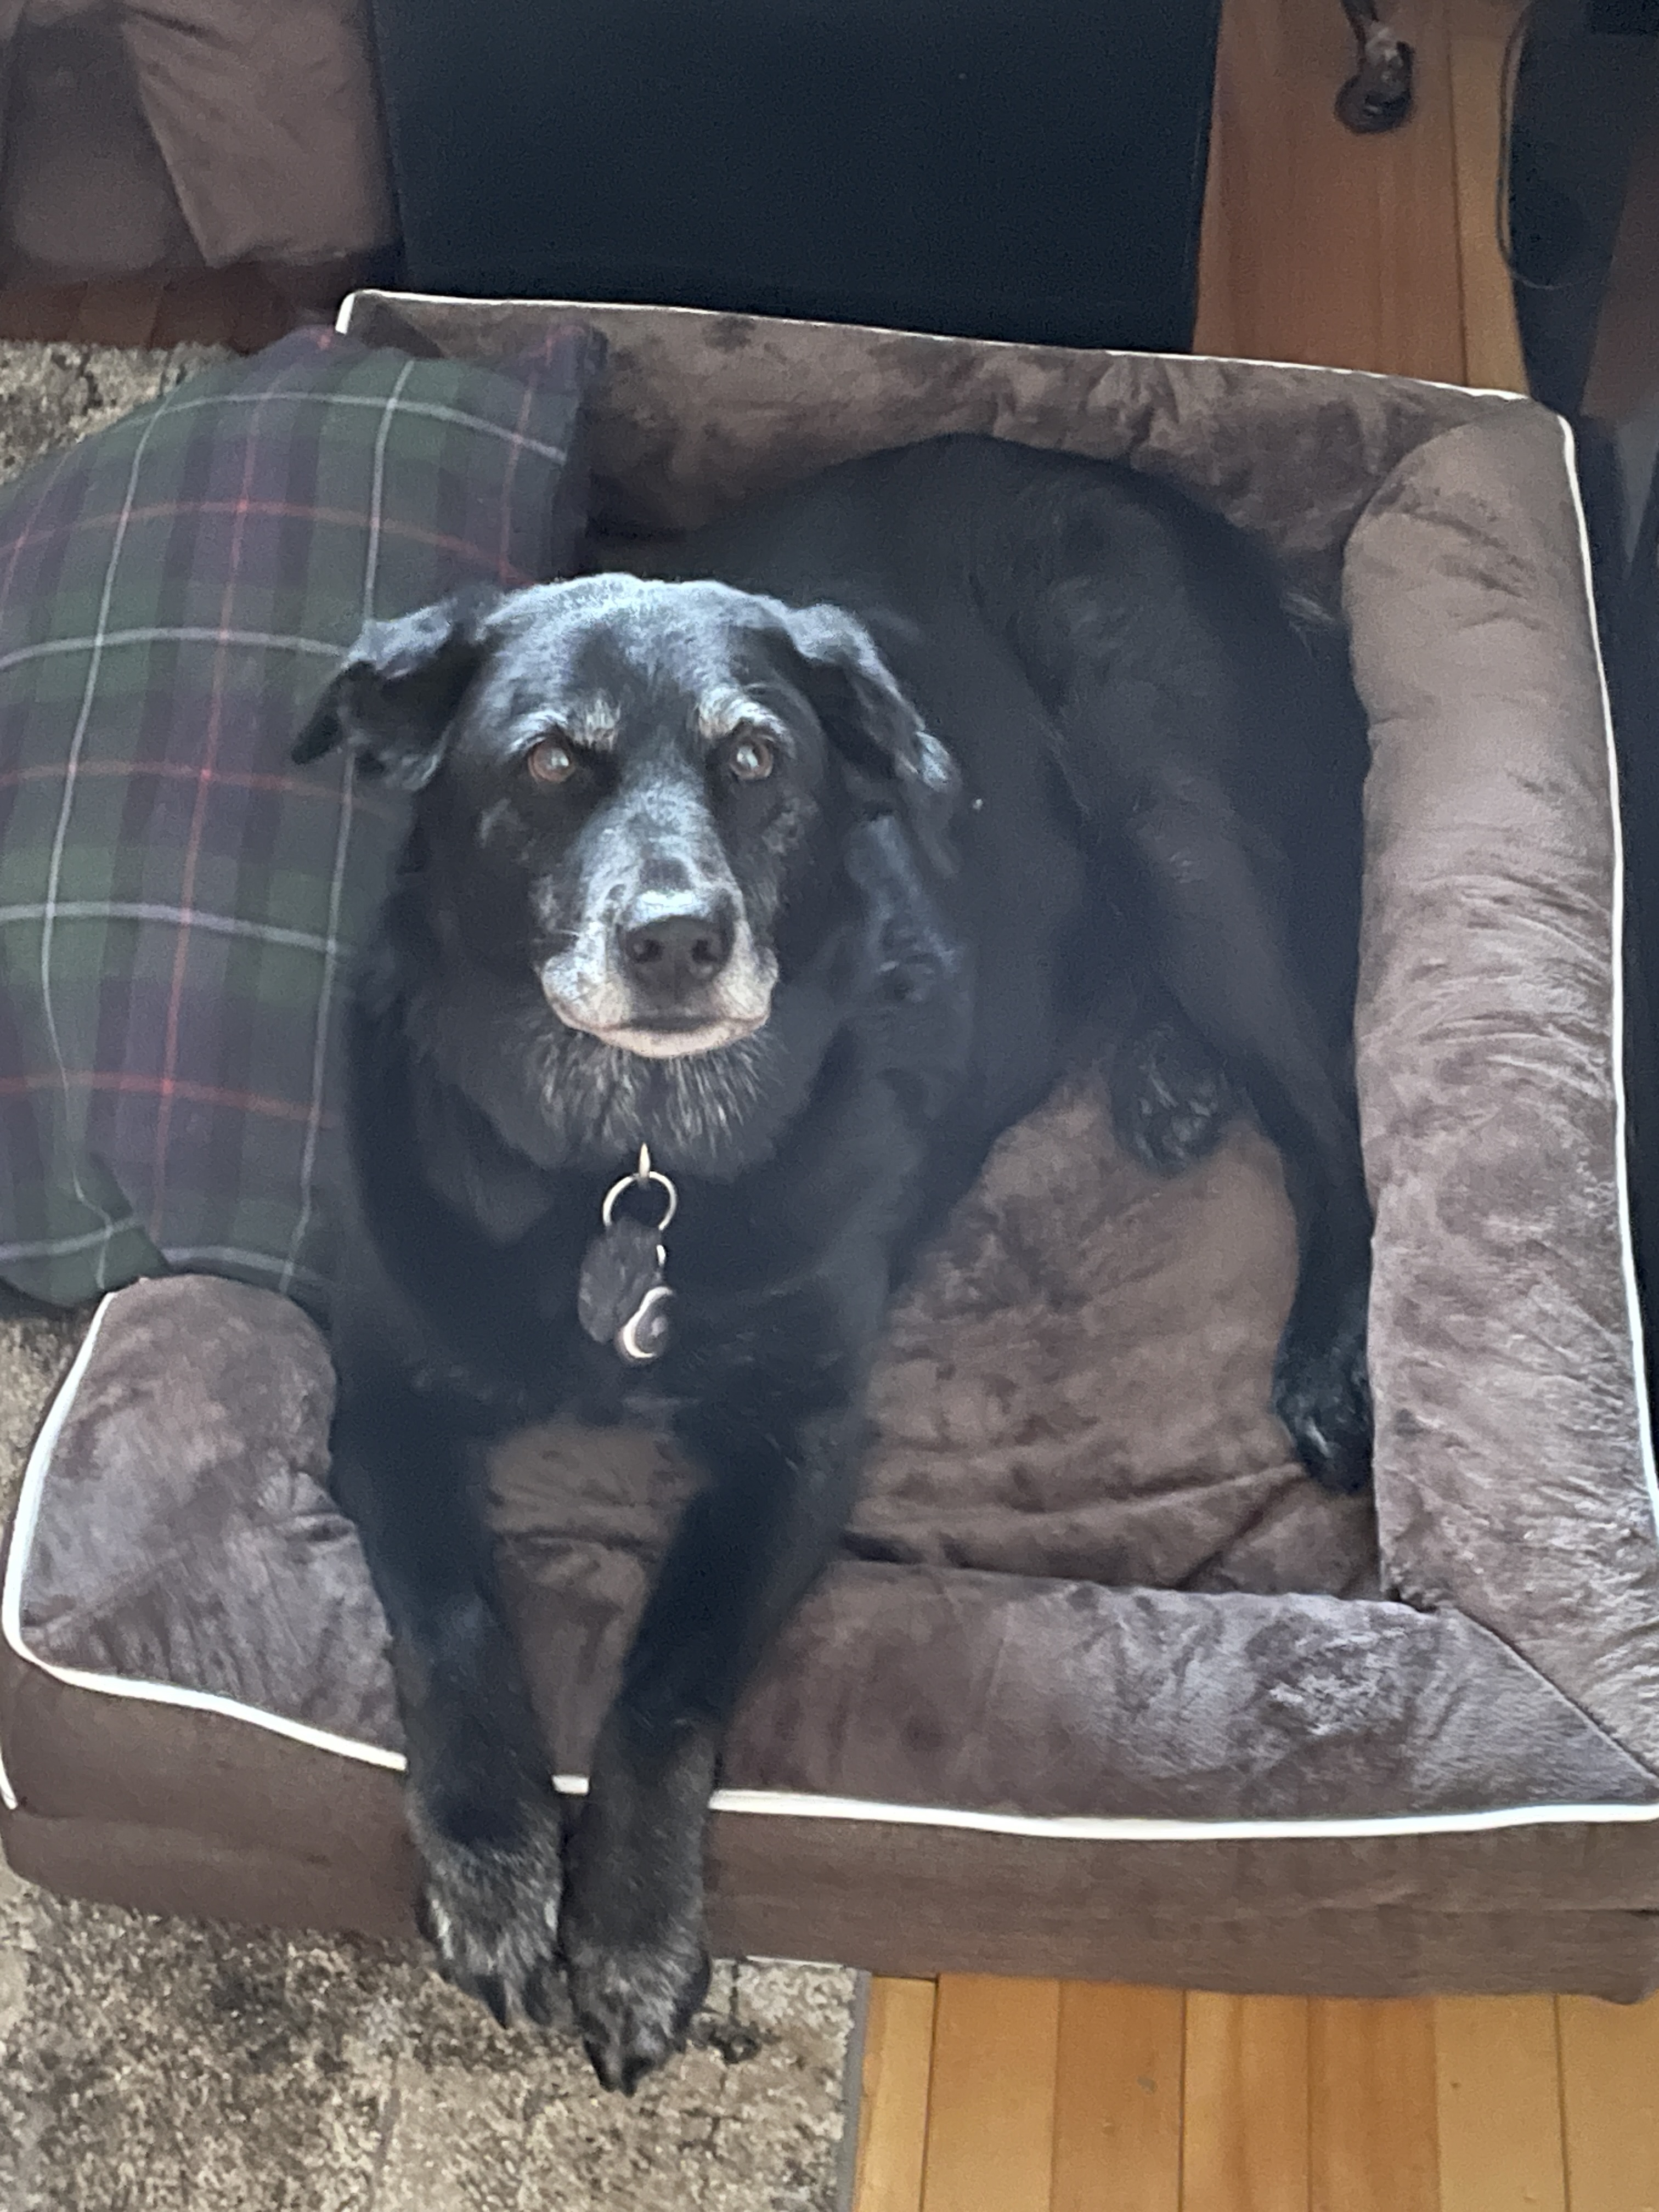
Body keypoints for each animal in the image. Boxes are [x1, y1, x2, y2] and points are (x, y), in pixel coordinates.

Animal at [294, 432, 1374, 2093]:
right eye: (546, 767)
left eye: (755, 761)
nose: (679, 937)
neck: (631, 1157)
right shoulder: (386, 1398)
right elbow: (453, 1618)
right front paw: (493, 1866)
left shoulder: (798, 1443)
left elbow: (664, 1678)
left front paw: (629, 1933)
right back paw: (1168, 1072)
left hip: (1167, 793)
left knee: (1330, 1110)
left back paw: (1323, 1340)